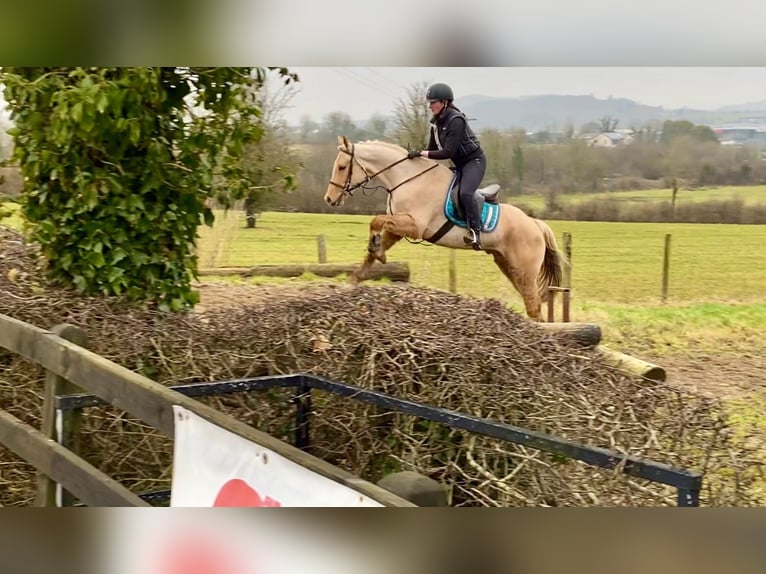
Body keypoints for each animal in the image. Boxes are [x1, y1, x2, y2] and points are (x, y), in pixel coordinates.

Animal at [324, 137, 568, 322]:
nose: (329, 199)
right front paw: (354, 279)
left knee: (534, 307)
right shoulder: (398, 227)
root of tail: (535, 223)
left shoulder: (415, 226)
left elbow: (376, 221)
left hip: (525, 271)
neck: (407, 178)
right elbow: (372, 249)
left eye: (342, 167)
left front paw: (375, 250)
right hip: (509, 266)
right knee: (532, 305)